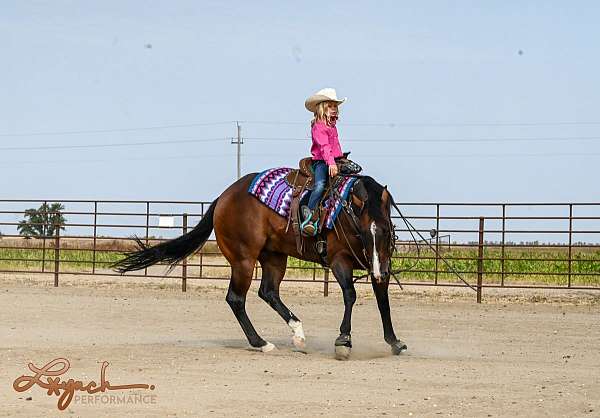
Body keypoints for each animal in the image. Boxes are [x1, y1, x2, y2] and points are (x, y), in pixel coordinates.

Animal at [112, 171, 408, 358]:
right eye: (362, 231)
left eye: (385, 230)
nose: (377, 268)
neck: (345, 212)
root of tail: (224, 197)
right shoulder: (339, 261)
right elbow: (350, 295)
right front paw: (343, 341)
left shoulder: (381, 263)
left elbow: (383, 301)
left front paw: (394, 342)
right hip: (243, 259)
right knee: (236, 298)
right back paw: (261, 343)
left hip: (274, 257)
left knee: (268, 292)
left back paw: (298, 335)